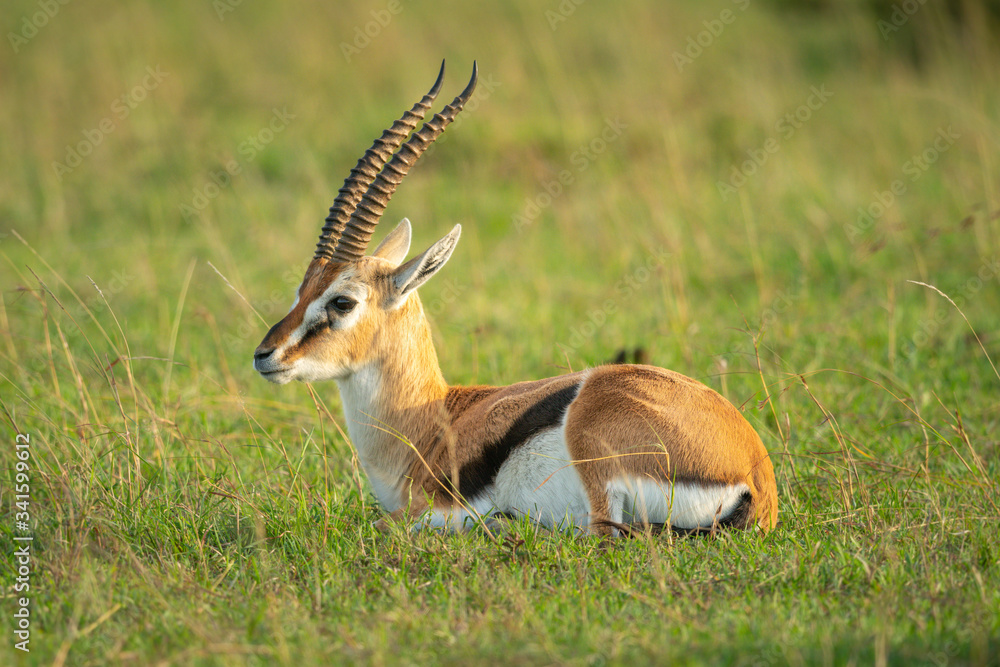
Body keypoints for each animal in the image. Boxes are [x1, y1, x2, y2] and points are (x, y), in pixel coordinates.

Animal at [253, 62, 778, 536]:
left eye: (343, 301)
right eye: (302, 290)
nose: (265, 355)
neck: (429, 419)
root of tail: (755, 475)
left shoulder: (425, 509)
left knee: (601, 533)